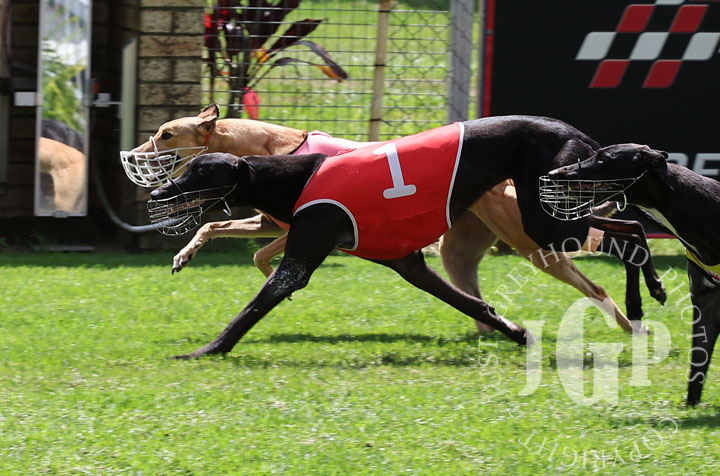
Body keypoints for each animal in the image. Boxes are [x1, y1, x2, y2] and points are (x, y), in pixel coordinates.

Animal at [149, 116, 665, 359]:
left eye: (198, 174)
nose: (156, 191)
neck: (292, 170)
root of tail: (581, 136)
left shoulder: (302, 253)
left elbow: (255, 305)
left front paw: (202, 352)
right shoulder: (409, 264)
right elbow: (473, 305)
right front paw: (518, 334)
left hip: (545, 230)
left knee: (630, 235)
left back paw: (645, 300)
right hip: (527, 230)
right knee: (627, 235)